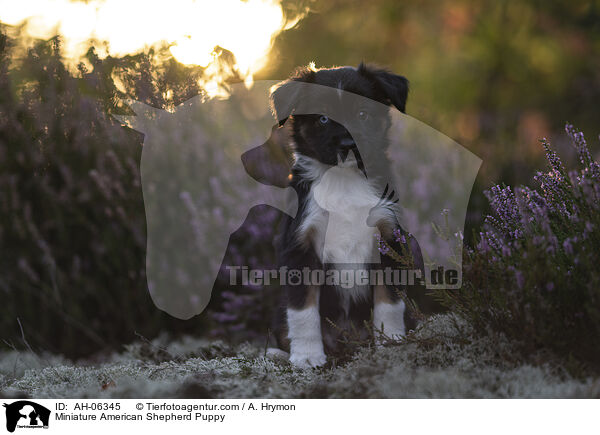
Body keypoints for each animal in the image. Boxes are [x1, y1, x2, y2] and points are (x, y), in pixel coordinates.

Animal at [270, 63, 424, 368]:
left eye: (362, 114)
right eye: (323, 118)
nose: (347, 143)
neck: (344, 180)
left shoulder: (388, 235)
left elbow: (389, 301)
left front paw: (392, 342)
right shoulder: (301, 245)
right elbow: (303, 309)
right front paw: (307, 356)